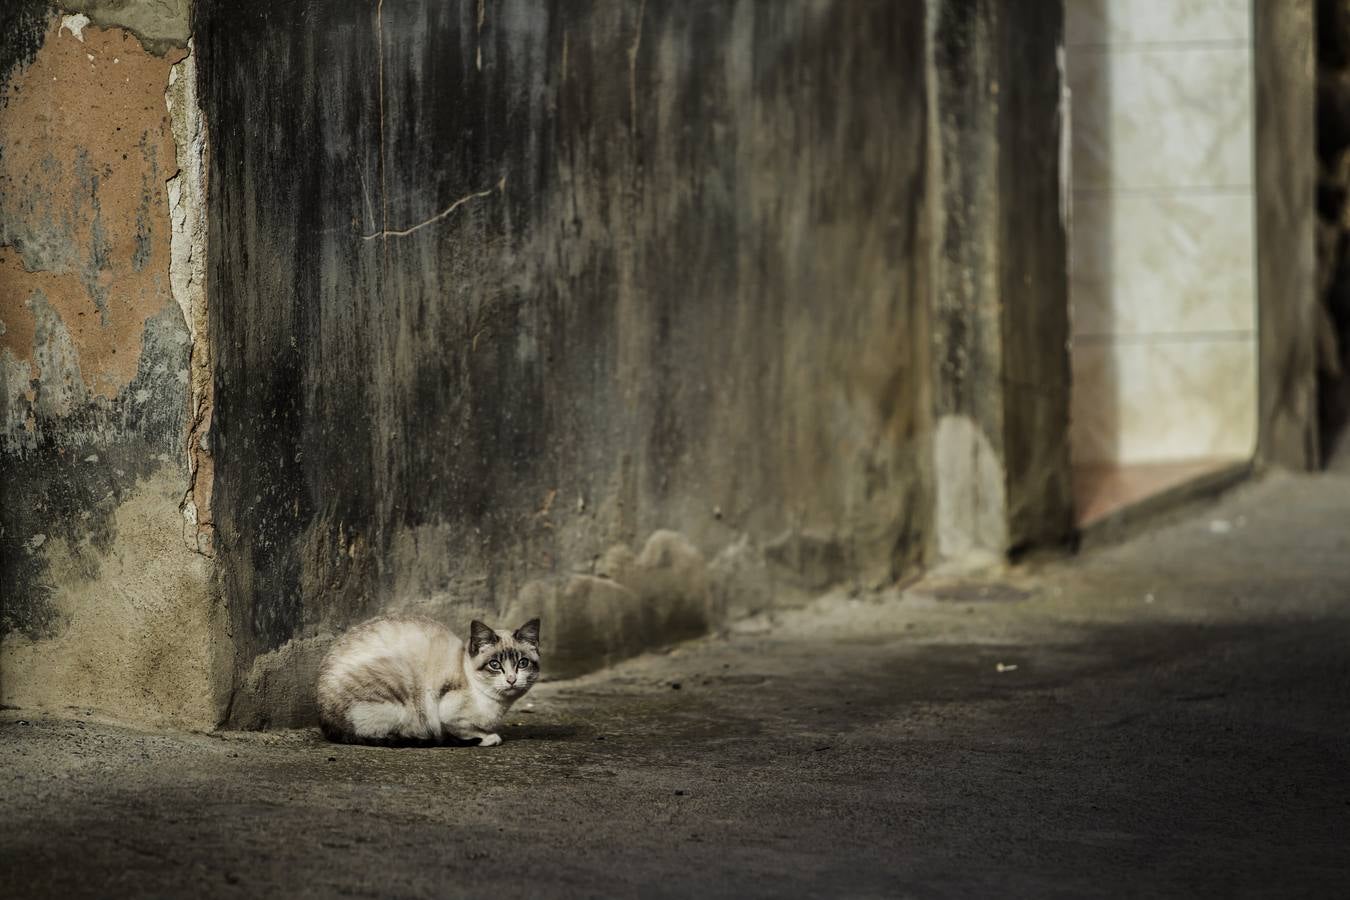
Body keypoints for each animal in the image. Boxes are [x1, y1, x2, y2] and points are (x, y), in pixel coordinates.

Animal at [317, 612, 542, 744]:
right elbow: (468, 731)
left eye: (522, 663)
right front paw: (489, 738)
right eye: (495, 665)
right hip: (400, 680)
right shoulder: (447, 715)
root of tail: (327, 722)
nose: (511, 679)